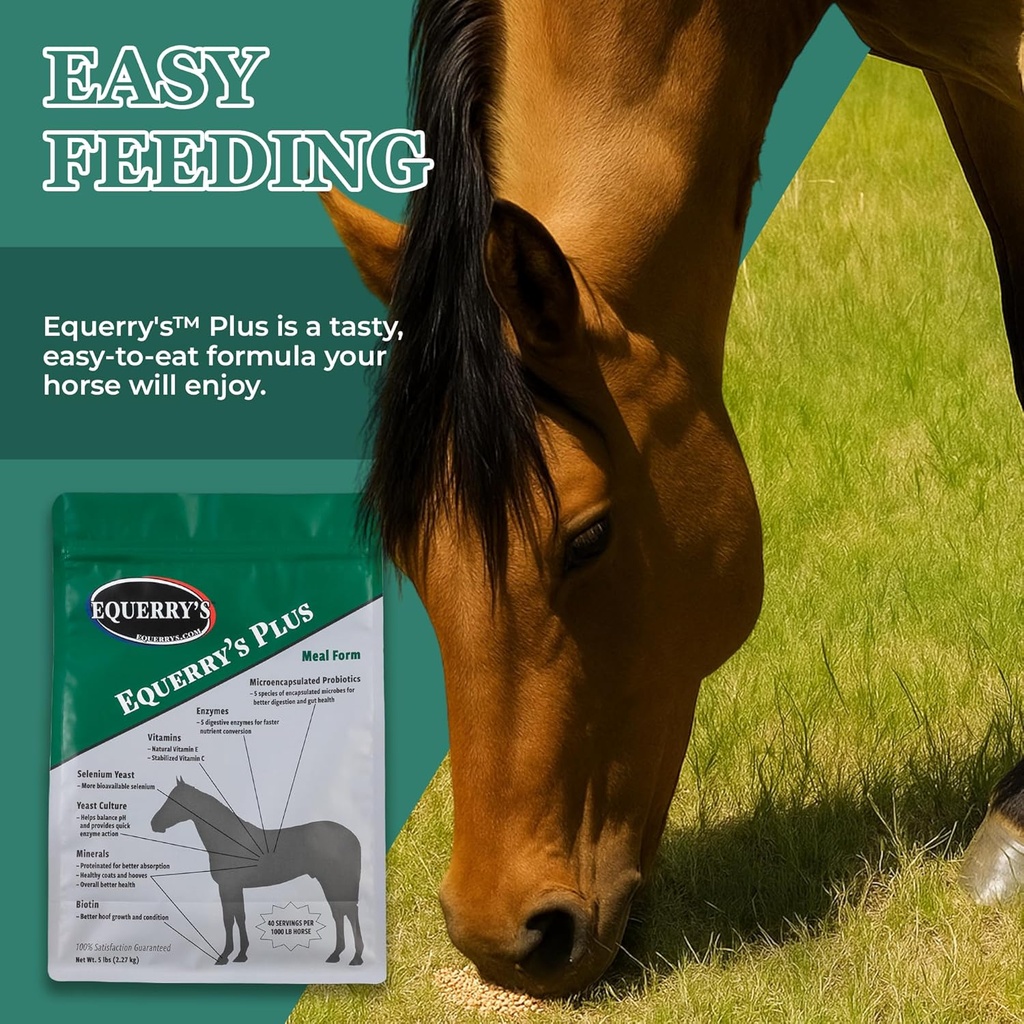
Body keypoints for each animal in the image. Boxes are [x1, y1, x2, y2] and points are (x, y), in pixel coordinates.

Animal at [150, 779, 364, 966]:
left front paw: (226, 956)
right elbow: (238, 917)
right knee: (339, 913)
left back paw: (355, 958)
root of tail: (352, 837)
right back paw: (336, 954)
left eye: (174, 800)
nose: (154, 824)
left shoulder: (228, 887)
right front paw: (240, 954)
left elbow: (229, 919)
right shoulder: (234, 888)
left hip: (335, 882)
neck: (229, 838)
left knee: (348, 912)